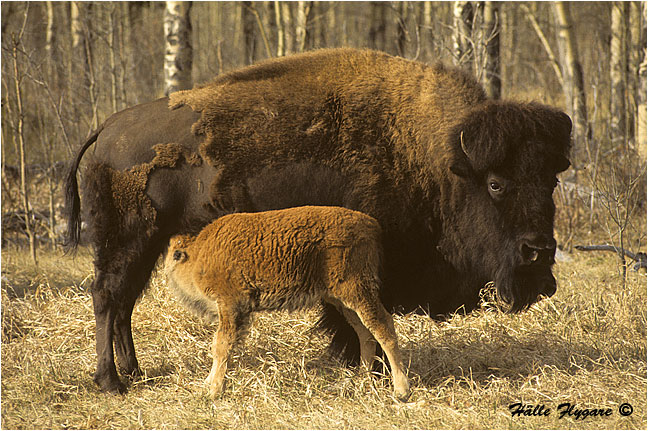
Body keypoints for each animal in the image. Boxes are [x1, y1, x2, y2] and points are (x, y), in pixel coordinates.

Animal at [64, 48, 571, 394]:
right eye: (496, 184)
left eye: (551, 181)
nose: (539, 253)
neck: (434, 158)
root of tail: (106, 130)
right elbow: (360, 323)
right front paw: (365, 368)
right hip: (127, 238)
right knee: (107, 297)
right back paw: (111, 382)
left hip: (149, 242)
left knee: (125, 302)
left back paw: (134, 372)